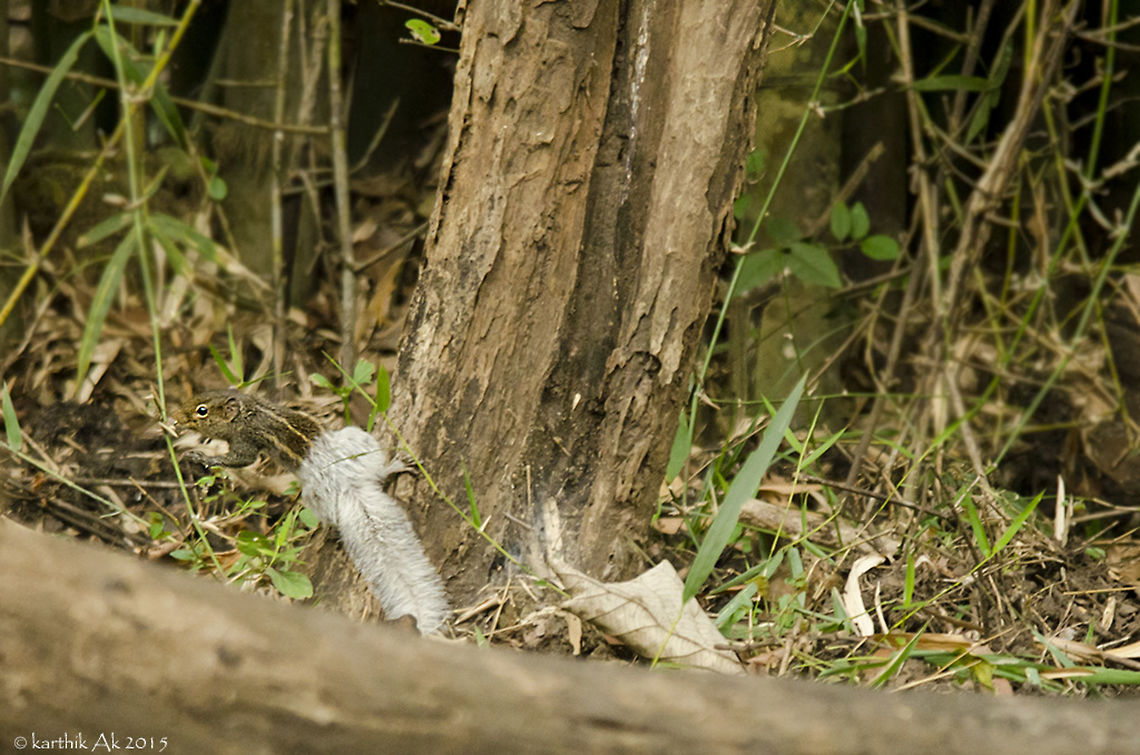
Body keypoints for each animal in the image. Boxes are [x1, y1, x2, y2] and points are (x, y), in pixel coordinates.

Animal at [176, 390, 450, 635]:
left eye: (202, 411)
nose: (176, 417)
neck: (249, 411)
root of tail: (350, 486)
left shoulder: (245, 441)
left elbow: (240, 459)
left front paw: (202, 457)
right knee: (377, 472)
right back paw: (394, 466)